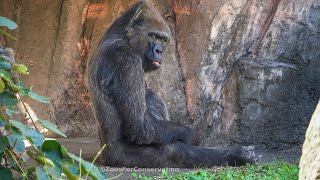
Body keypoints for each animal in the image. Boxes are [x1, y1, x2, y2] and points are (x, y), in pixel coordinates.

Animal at [88, 0, 255, 168]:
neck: (122, 37)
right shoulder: (127, 60)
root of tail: (104, 157)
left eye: (162, 40)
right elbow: (139, 127)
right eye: (152, 35)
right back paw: (234, 155)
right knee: (174, 150)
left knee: (151, 96)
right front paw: (190, 134)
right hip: (123, 158)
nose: (159, 51)